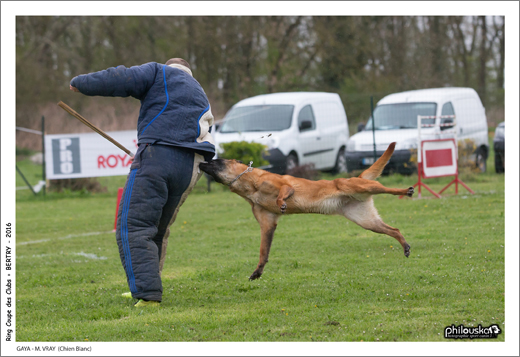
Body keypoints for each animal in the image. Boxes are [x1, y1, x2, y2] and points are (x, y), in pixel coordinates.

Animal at [199, 141, 414, 278]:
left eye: (215, 161)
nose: (200, 163)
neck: (250, 185)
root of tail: (358, 177)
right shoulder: (267, 224)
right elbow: (263, 252)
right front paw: (258, 271)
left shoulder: (286, 186)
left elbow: (282, 193)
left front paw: (281, 202)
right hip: (366, 221)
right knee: (394, 230)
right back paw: (405, 245)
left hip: (358, 186)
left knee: (387, 188)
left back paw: (407, 190)